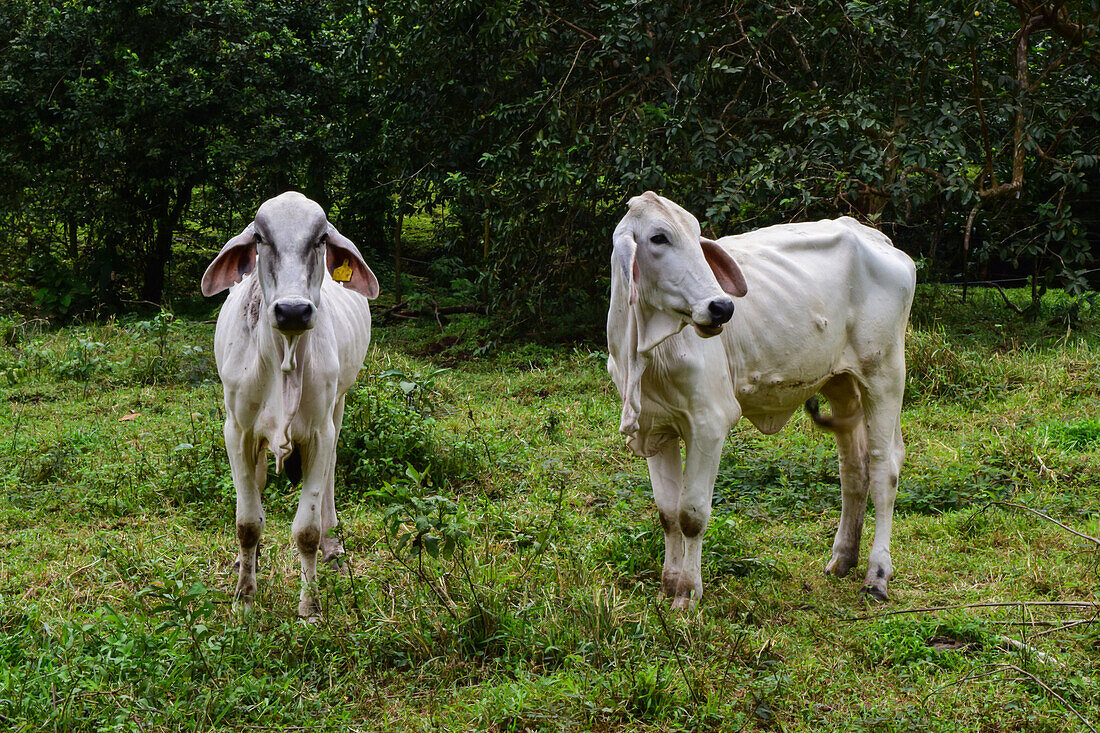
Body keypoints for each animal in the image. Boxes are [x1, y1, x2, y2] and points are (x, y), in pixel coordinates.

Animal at [202, 189, 378, 616]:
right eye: (260, 238)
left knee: (330, 474)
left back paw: (333, 544)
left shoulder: (319, 433)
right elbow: (248, 522)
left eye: (321, 240)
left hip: (339, 405)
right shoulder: (237, 431)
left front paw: (310, 607)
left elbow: (306, 530)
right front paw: (245, 596)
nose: (293, 310)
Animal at [607, 191, 915, 607]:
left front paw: (687, 593)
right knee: (855, 469)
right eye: (658, 237)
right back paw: (841, 559)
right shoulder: (656, 427)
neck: (646, 352)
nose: (722, 307)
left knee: (885, 468)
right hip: (839, 381)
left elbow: (691, 514)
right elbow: (667, 513)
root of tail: (877, 238)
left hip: (884, 373)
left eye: (696, 235)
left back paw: (877, 575)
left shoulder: (709, 422)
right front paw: (667, 587)